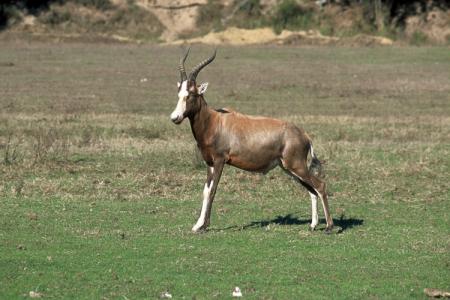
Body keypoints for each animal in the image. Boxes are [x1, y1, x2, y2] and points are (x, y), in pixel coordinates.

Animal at [171, 48, 332, 233]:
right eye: (179, 94)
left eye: (191, 94)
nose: (175, 118)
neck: (215, 121)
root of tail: (304, 135)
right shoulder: (209, 163)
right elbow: (206, 191)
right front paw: (198, 225)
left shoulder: (220, 161)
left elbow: (213, 190)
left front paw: (204, 226)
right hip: (289, 168)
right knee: (312, 190)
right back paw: (313, 225)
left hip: (296, 166)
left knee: (320, 185)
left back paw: (329, 227)